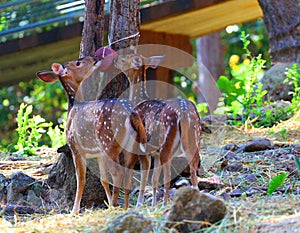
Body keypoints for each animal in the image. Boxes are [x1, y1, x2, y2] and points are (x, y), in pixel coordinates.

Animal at [36, 56, 146, 213]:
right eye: (77, 62)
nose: (94, 57)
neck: (73, 108)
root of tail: (130, 112)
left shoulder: (75, 147)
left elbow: (81, 179)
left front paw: (74, 210)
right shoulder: (97, 153)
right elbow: (102, 179)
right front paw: (106, 201)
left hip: (108, 142)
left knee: (118, 173)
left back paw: (115, 205)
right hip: (128, 144)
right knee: (128, 171)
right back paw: (122, 205)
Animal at [112, 52, 202, 206]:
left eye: (124, 59)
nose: (115, 59)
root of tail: (184, 113)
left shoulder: (143, 149)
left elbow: (144, 179)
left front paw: (140, 204)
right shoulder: (155, 153)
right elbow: (154, 179)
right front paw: (153, 204)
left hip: (166, 142)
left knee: (168, 178)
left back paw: (165, 204)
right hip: (193, 139)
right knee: (193, 172)